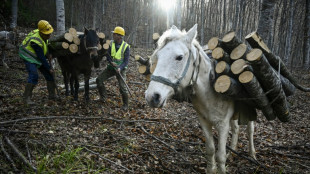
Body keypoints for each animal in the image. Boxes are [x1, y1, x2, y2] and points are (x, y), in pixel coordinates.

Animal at [145, 24, 256, 174]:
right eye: (158, 56)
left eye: (179, 57)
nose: (152, 97)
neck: (210, 92)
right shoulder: (204, 121)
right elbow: (210, 150)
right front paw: (211, 169)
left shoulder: (223, 125)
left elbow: (220, 155)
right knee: (236, 128)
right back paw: (232, 152)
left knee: (250, 130)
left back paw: (252, 154)